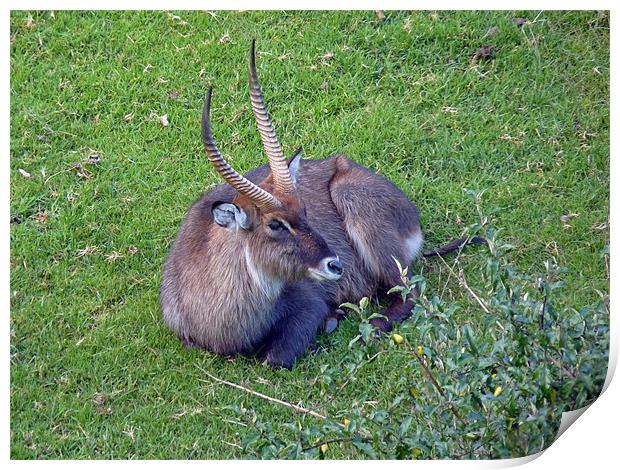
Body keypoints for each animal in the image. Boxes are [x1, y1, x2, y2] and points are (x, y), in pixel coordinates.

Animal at [161, 40, 484, 370]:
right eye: (275, 224)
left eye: (305, 211)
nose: (335, 264)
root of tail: (413, 216)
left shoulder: (309, 302)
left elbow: (275, 358)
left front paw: (330, 320)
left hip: (351, 199)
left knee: (411, 293)